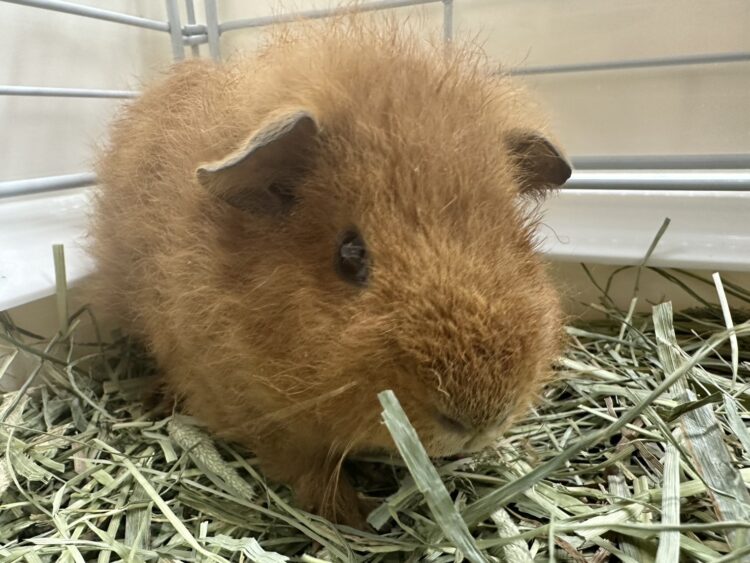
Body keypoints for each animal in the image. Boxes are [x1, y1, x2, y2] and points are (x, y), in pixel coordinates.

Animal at [89, 16, 571, 528]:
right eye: (350, 253)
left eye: (517, 238)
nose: (480, 420)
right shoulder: (259, 415)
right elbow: (311, 470)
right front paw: (354, 516)